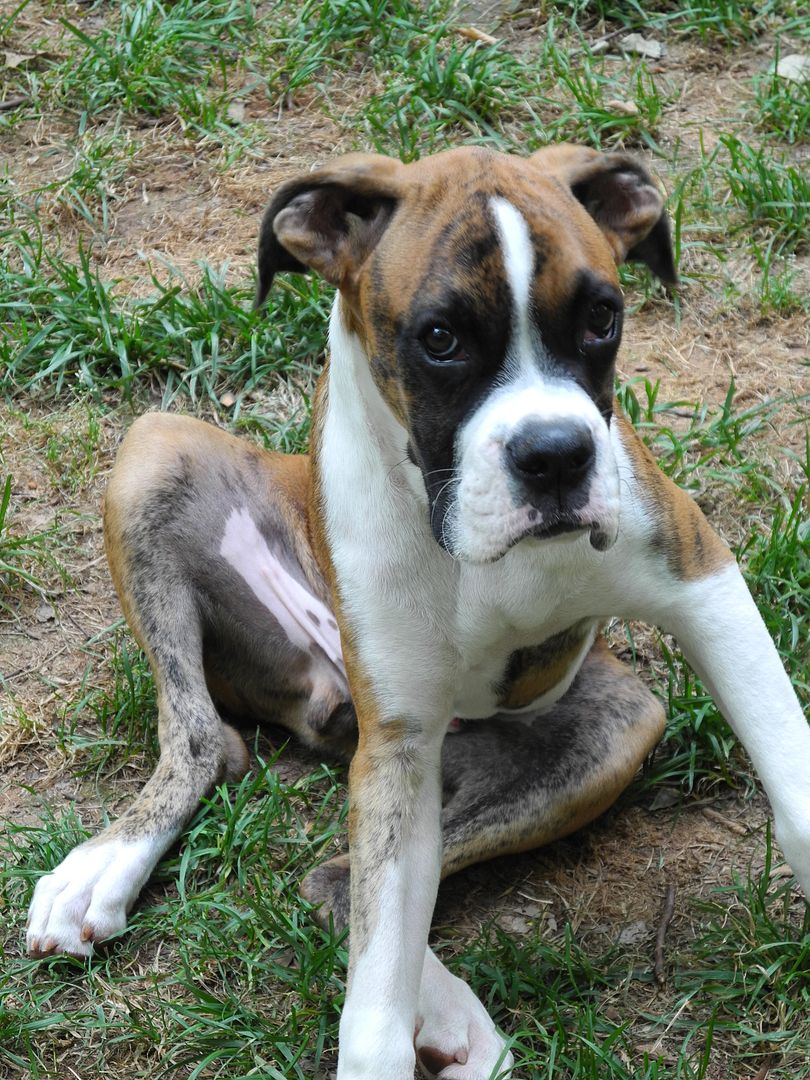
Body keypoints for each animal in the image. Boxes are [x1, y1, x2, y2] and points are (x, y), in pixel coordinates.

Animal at [27, 145, 810, 1080]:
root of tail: (325, 705)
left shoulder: (700, 575)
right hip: (159, 448)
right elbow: (374, 984)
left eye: (602, 319)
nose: (556, 456)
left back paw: (444, 1008)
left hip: (618, 728)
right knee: (214, 753)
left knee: (338, 875)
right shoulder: (398, 741)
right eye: (440, 339)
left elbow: (795, 778)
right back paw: (104, 869)